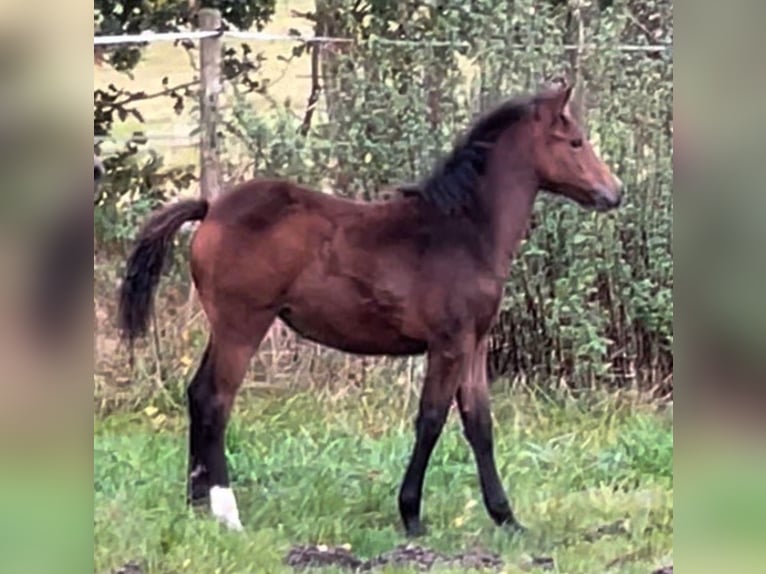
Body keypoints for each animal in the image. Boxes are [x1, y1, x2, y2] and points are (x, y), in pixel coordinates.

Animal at [118, 83, 624, 536]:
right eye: (575, 141)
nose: (614, 193)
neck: (463, 231)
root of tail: (211, 208)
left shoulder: (475, 344)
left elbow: (479, 424)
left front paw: (507, 518)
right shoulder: (449, 343)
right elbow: (431, 420)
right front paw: (412, 516)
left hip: (224, 327)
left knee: (196, 394)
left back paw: (196, 504)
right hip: (243, 325)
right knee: (215, 399)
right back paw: (227, 514)